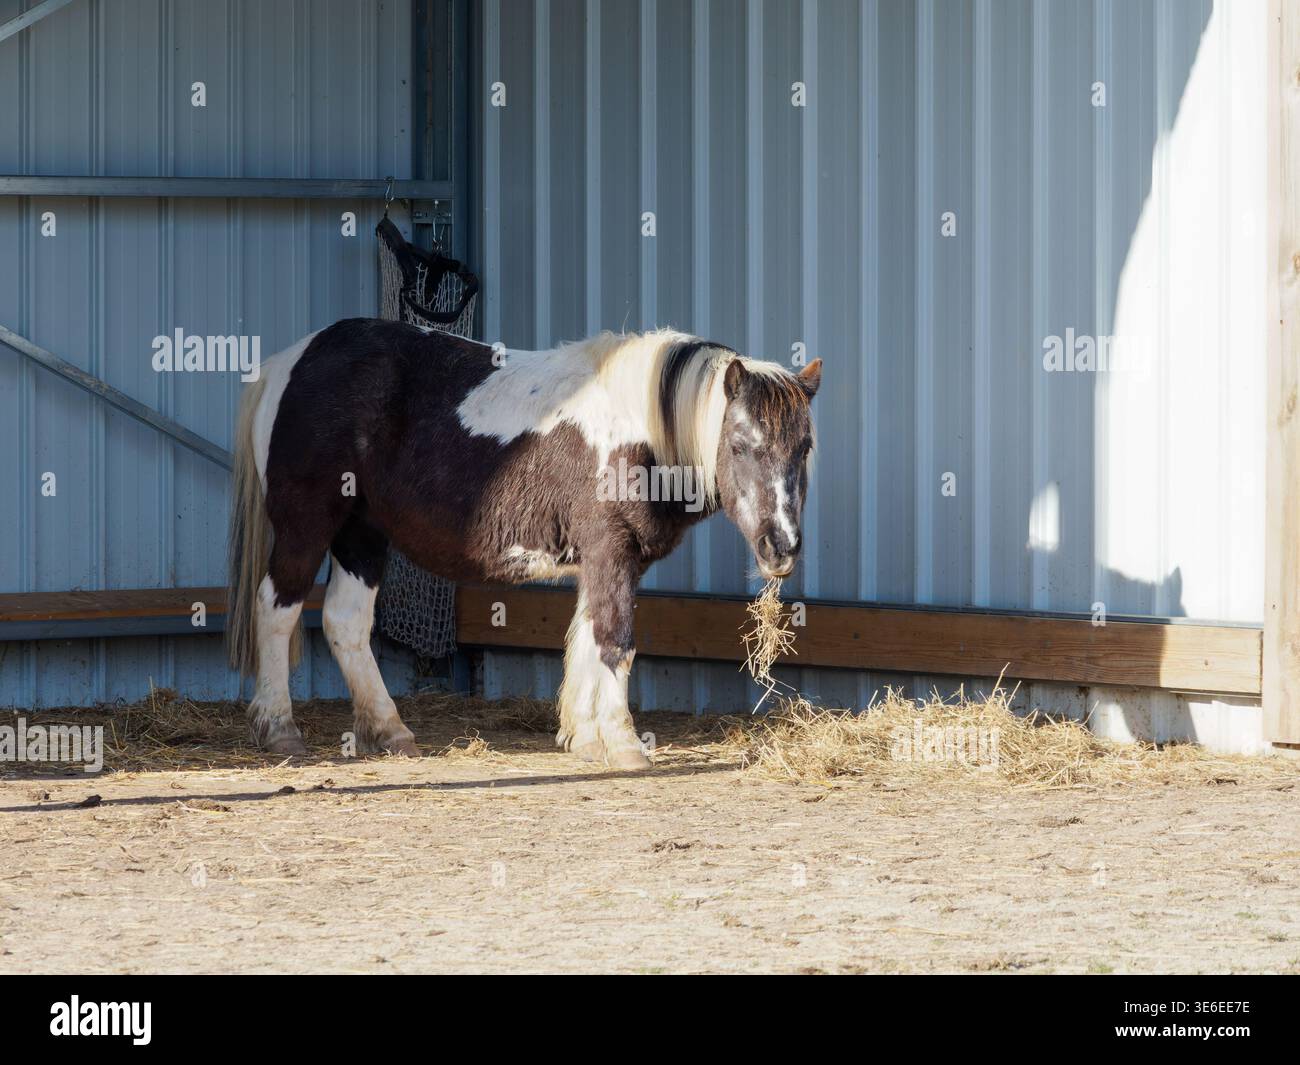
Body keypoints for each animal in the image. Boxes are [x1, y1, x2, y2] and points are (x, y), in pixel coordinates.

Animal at [226, 318, 822, 770]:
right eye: (740, 445)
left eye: (805, 447)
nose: (782, 547)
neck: (640, 427)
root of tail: (290, 362)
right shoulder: (612, 550)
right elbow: (615, 640)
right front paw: (625, 744)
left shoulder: (603, 559)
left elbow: (586, 637)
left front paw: (585, 738)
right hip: (307, 527)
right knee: (277, 608)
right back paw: (279, 728)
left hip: (362, 535)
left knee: (345, 623)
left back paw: (390, 731)